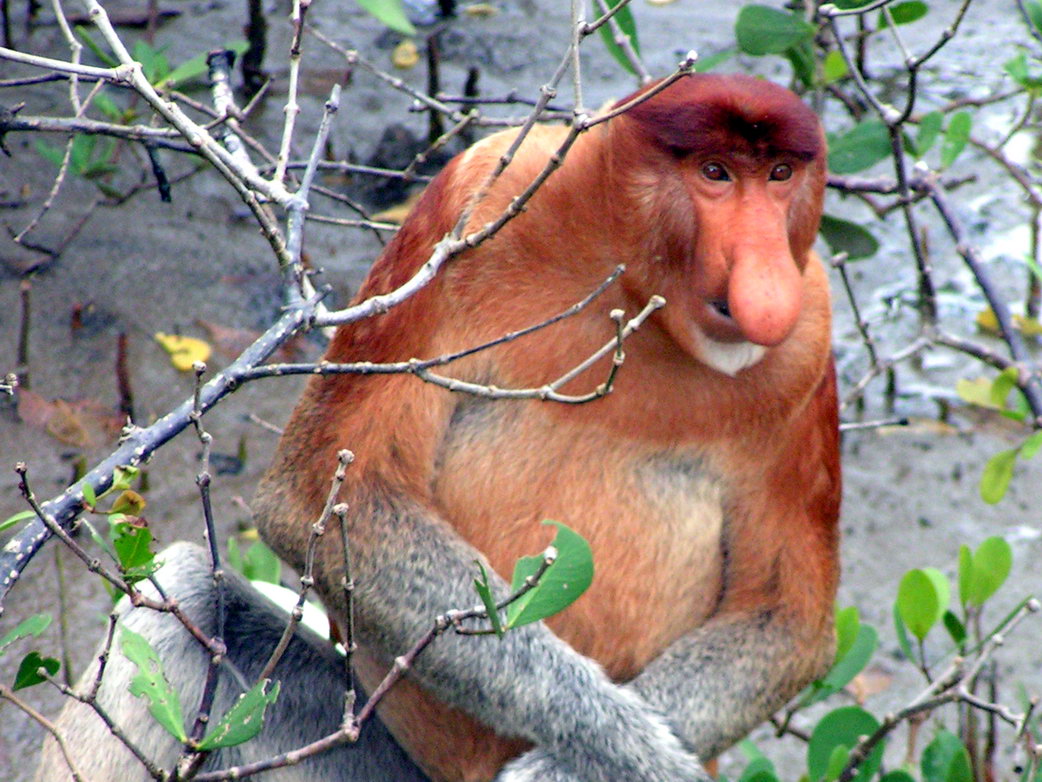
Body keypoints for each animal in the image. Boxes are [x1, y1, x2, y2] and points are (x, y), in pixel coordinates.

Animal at [36, 73, 841, 782]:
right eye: (715, 173)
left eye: (778, 174)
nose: (765, 269)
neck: (632, 280)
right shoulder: (471, 198)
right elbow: (325, 493)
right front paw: (619, 752)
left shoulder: (808, 337)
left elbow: (783, 616)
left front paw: (568, 767)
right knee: (176, 603)